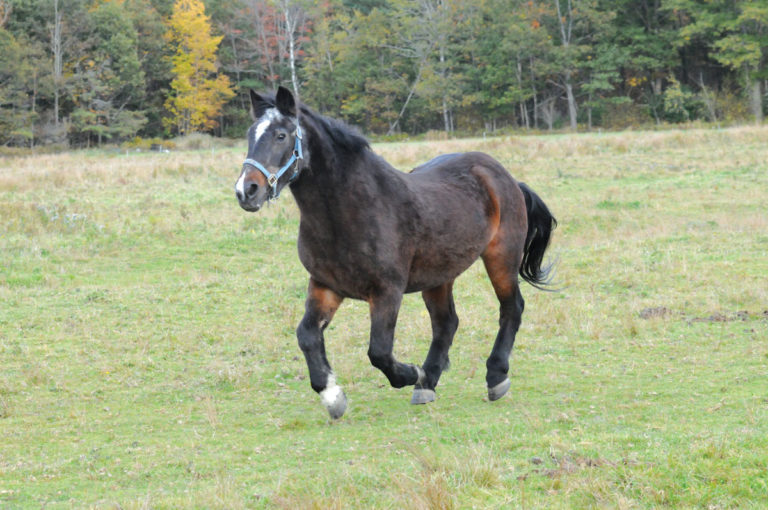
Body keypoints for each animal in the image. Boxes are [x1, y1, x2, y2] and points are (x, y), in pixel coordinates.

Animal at [235, 86, 556, 419]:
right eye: (250, 134)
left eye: (281, 135)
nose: (246, 191)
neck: (348, 212)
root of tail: (506, 178)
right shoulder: (325, 285)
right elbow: (307, 335)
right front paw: (333, 396)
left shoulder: (387, 291)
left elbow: (378, 351)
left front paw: (409, 373)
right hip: (439, 275)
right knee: (446, 323)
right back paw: (428, 383)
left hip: (501, 258)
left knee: (511, 308)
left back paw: (494, 376)